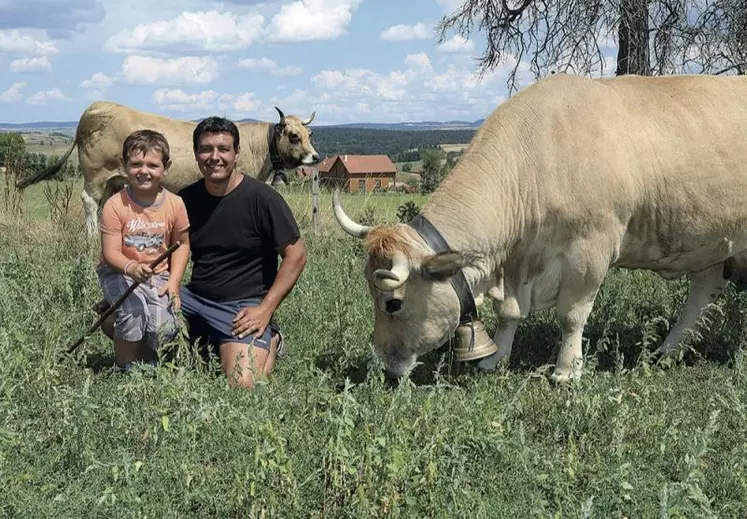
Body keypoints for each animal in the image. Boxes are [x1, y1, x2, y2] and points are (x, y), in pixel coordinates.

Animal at [14, 101, 318, 236]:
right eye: (294, 136)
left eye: (309, 134)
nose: (315, 157)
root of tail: (98, 107)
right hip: (96, 173)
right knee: (89, 201)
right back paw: (91, 239)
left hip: (113, 179)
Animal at [334, 72, 747, 382]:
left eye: (393, 303)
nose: (385, 365)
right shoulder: (519, 261)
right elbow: (510, 314)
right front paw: (494, 359)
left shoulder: (590, 248)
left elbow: (572, 314)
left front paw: (566, 370)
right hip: (714, 245)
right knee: (704, 292)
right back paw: (666, 351)